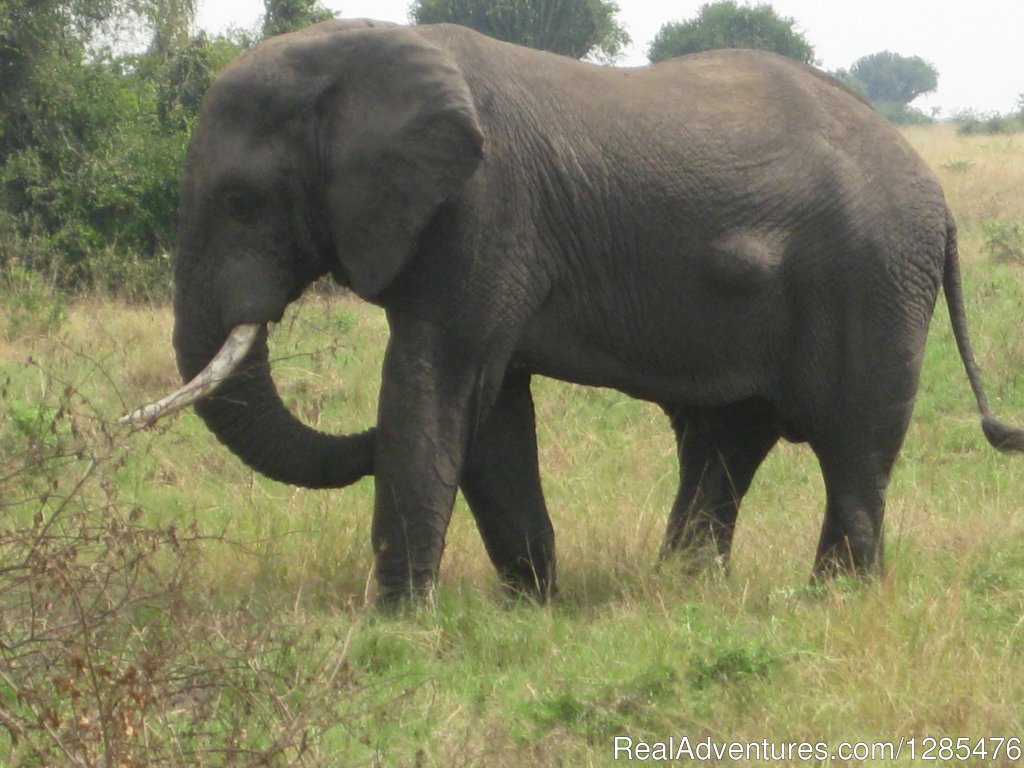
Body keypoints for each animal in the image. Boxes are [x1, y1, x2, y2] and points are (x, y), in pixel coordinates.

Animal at [128, 18, 1024, 606]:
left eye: (240, 201)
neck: (360, 55)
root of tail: (939, 202)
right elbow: (489, 411)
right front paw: (531, 605)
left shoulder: (483, 209)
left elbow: (437, 385)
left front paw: (396, 622)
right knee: (728, 440)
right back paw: (684, 589)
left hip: (874, 277)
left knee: (852, 446)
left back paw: (836, 600)